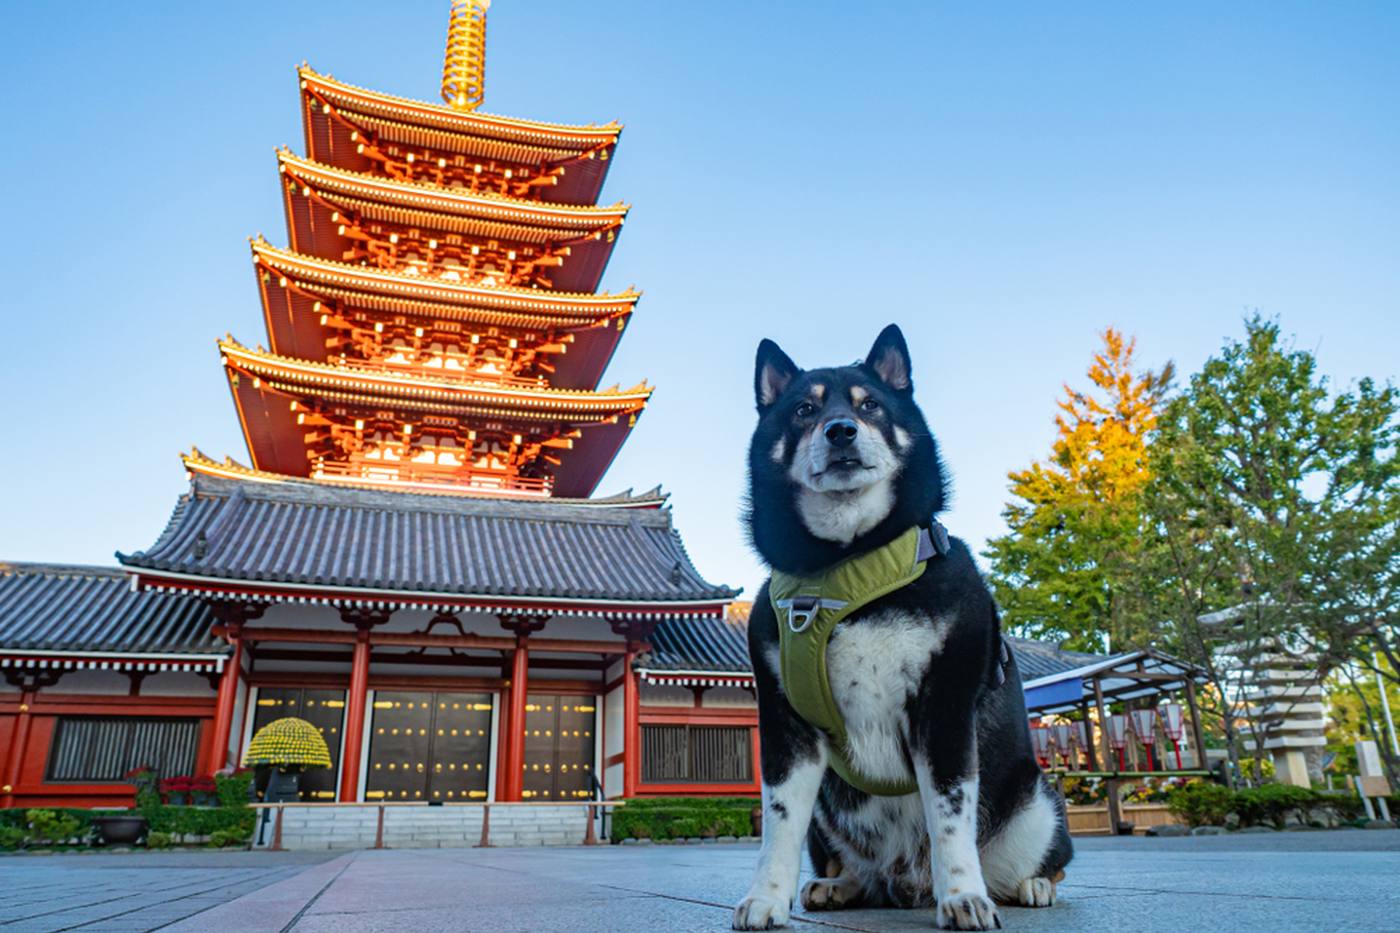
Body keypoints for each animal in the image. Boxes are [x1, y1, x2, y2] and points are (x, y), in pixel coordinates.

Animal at [733, 323, 1069, 924]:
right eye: (803, 410)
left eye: (869, 406)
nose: (841, 430)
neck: (851, 566)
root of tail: (907, 882)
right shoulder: (785, 723)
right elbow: (779, 825)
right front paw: (767, 899)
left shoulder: (945, 707)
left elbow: (951, 819)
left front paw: (963, 896)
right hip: (830, 812)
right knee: (854, 869)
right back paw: (838, 886)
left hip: (1039, 804)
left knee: (1041, 861)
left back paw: (1032, 886)